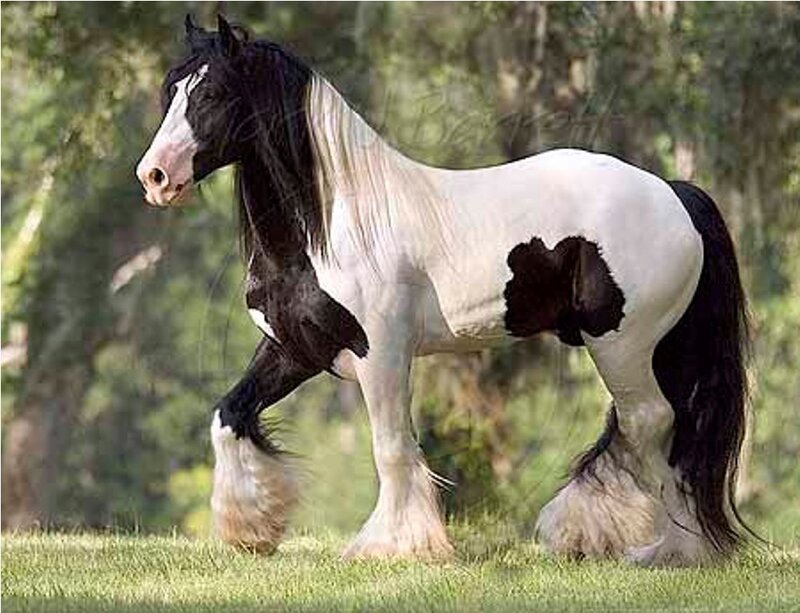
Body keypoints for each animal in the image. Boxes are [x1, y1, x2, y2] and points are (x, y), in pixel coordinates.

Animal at [136, 15, 751, 566]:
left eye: (213, 92)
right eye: (172, 88)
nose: (154, 177)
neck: (334, 224)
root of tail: (672, 192)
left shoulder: (380, 352)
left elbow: (390, 447)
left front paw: (392, 547)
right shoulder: (295, 348)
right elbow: (229, 415)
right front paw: (252, 530)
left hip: (622, 344)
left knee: (649, 422)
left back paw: (655, 549)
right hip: (657, 348)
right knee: (670, 433)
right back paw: (662, 545)